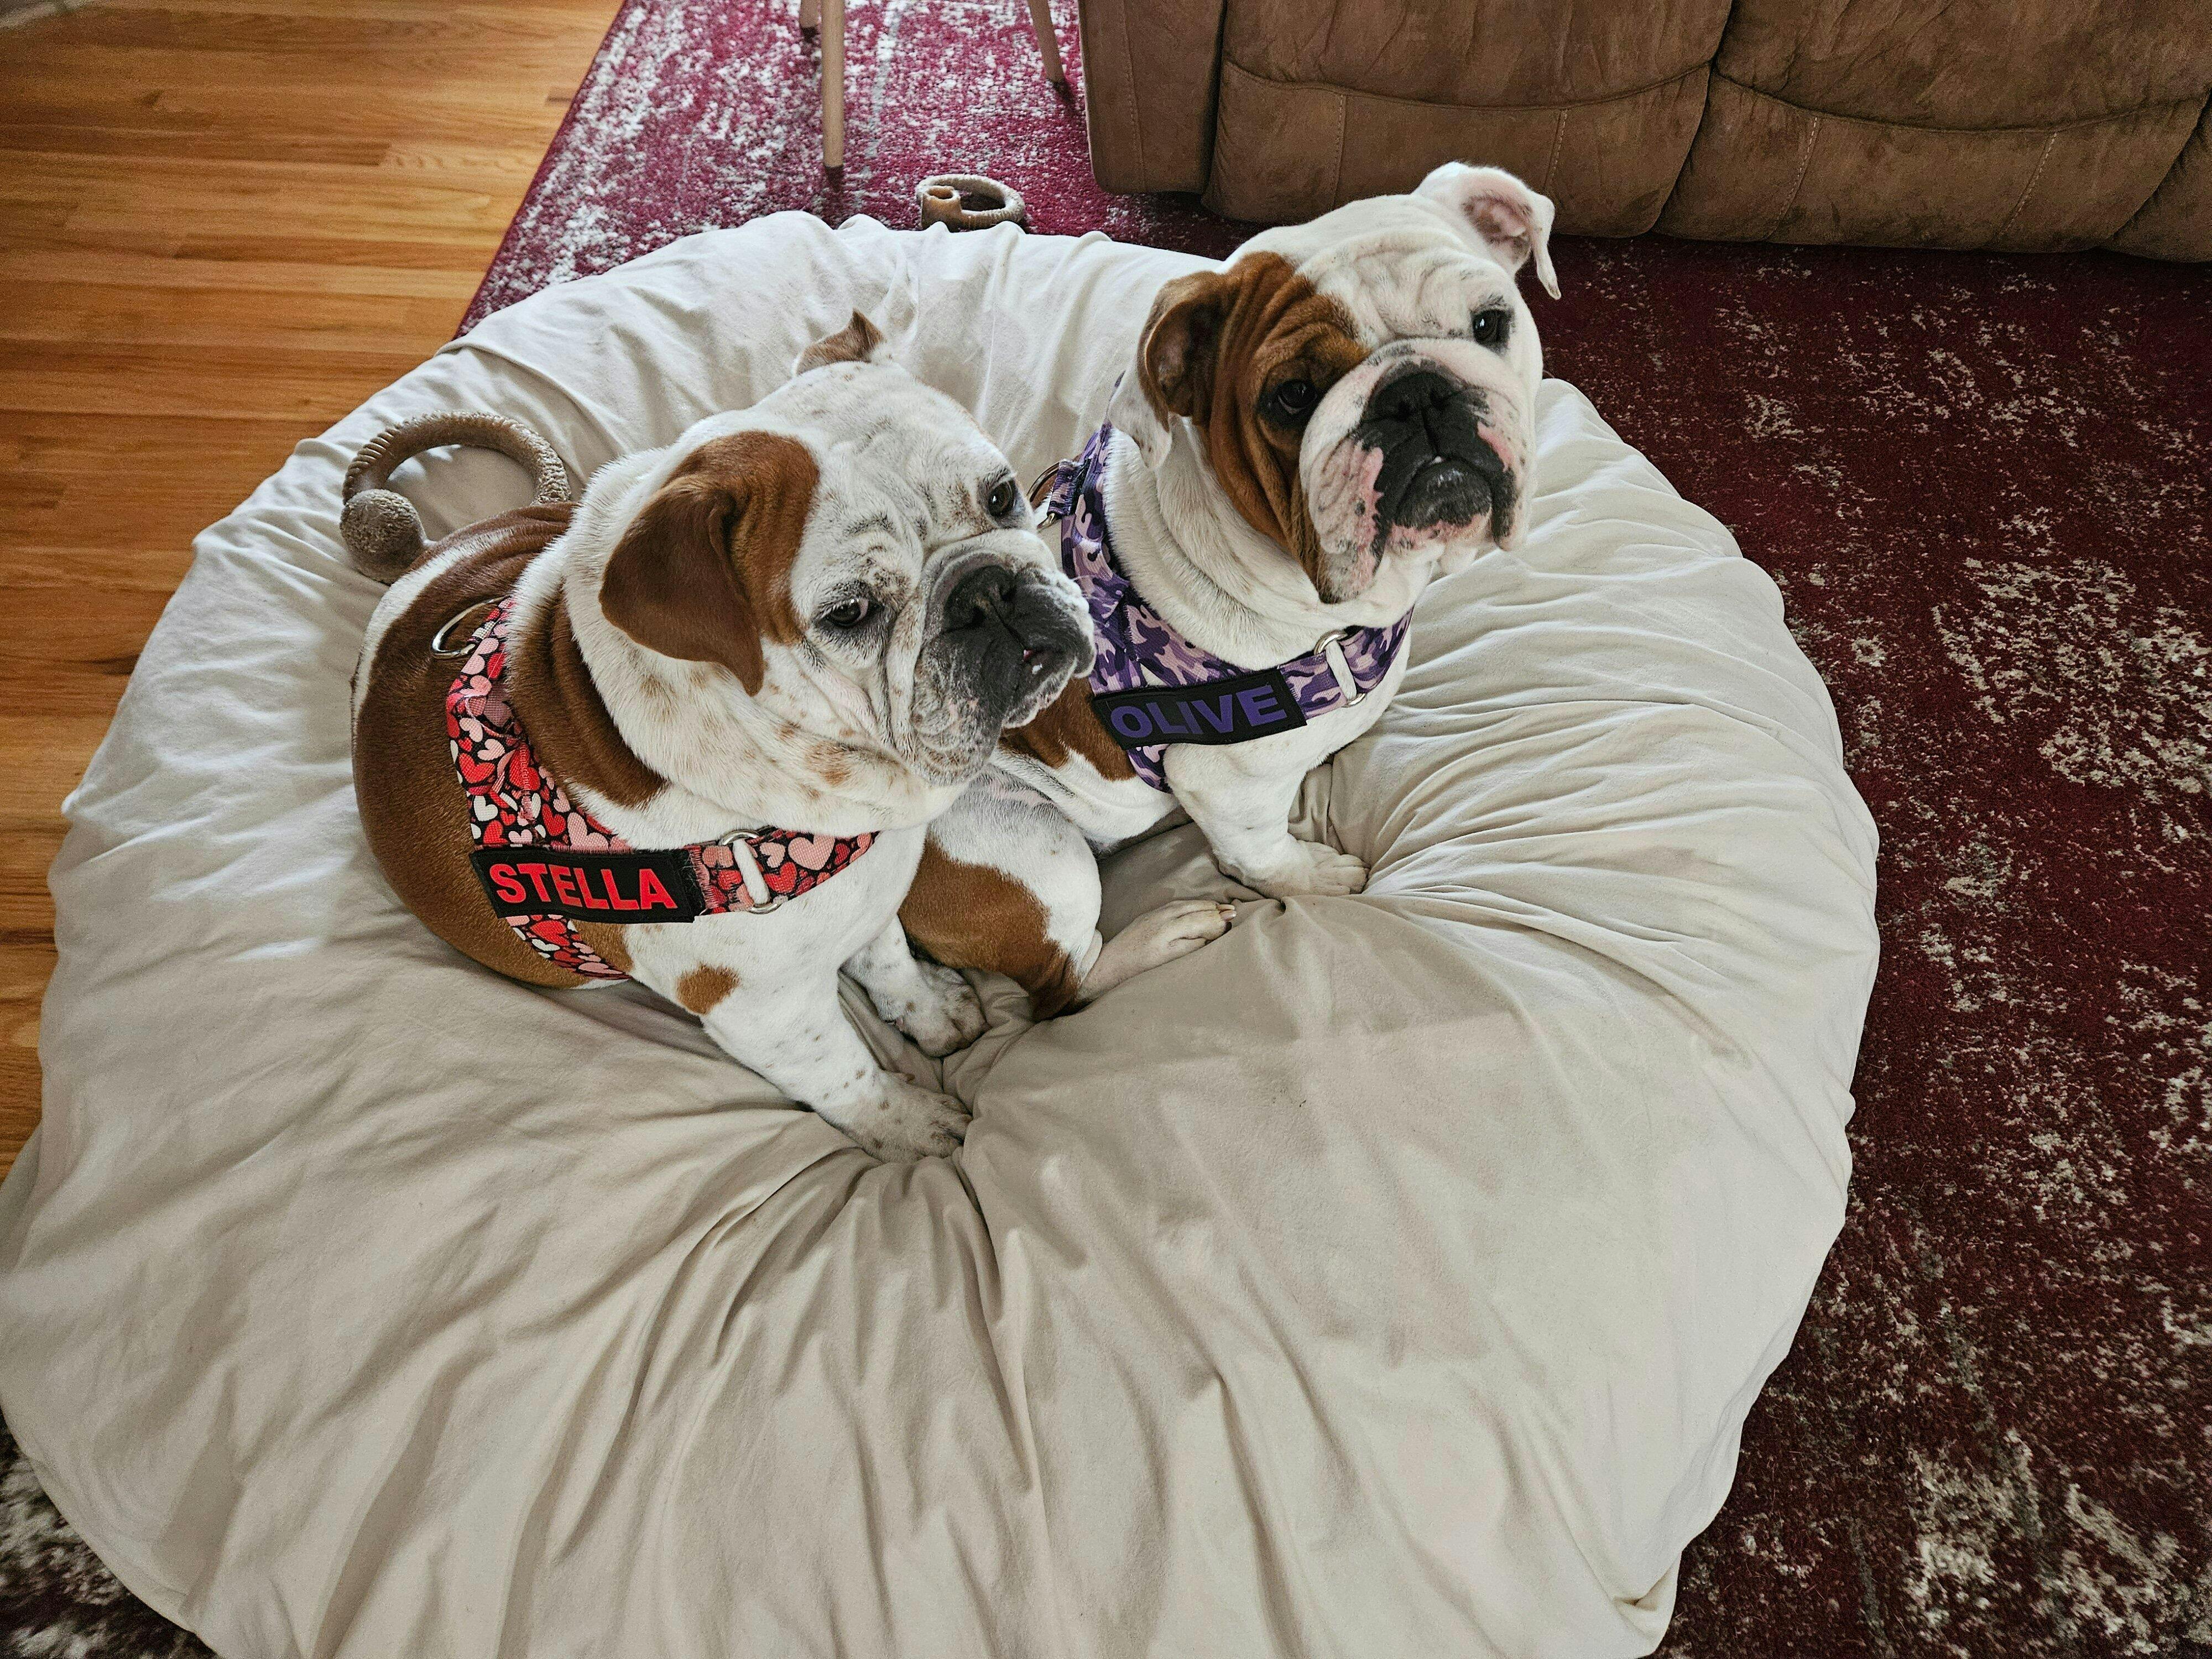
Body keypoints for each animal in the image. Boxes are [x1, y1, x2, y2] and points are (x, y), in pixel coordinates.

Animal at [347, 315, 1101, 1159]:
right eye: (850, 613)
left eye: (1001, 495)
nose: (988, 592)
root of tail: (425, 557)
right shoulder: (765, 1013)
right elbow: (844, 1073)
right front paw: (909, 1126)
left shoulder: (871, 898)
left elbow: (890, 960)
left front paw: (930, 1011)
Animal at [900, 163, 1557, 1017]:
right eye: (1292, 395)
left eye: (1489, 323)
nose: (1415, 393)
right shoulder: (1226, 786)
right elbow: (1267, 856)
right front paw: (1317, 876)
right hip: (1027, 850)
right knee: (1063, 984)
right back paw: (1163, 935)